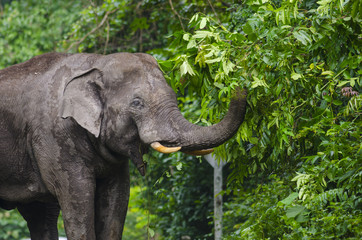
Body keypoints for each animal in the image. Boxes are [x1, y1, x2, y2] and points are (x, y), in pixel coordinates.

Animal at [0, 51, 247, 239]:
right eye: (137, 103)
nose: (237, 72)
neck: (95, 64)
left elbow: (117, 195)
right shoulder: (56, 139)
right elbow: (77, 195)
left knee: (40, 214)